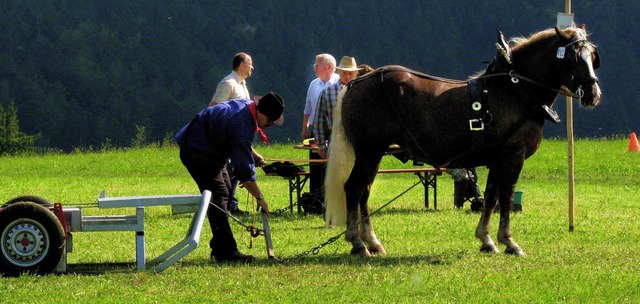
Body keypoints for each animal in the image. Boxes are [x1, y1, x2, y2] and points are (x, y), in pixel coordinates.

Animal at [324, 25, 600, 256]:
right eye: (575, 58)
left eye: (592, 57)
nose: (593, 94)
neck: (515, 90)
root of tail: (357, 82)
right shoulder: (513, 156)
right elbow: (506, 196)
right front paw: (509, 242)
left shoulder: (496, 160)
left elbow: (491, 198)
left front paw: (487, 240)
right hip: (369, 151)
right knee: (354, 189)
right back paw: (358, 244)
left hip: (374, 154)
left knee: (364, 192)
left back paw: (372, 242)